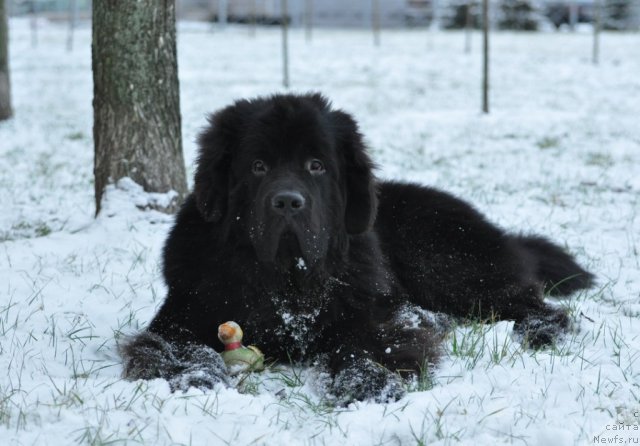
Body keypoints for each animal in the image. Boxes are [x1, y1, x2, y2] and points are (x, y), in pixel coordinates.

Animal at [124, 92, 596, 402]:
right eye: (257, 166)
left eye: (316, 165)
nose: (288, 201)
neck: (289, 281)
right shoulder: (184, 311)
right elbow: (178, 345)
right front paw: (196, 376)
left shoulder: (368, 313)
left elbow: (366, 345)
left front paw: (369, 381)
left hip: (444, 262)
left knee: (532, 303)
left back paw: (539, 330)